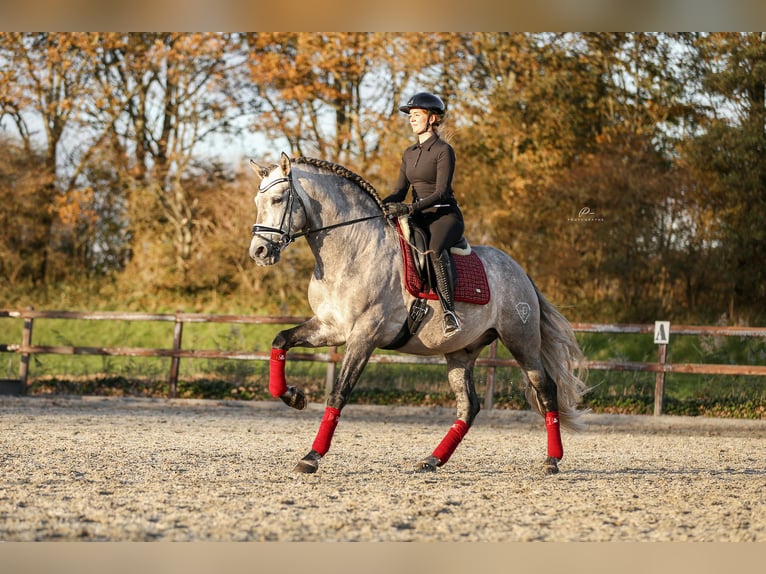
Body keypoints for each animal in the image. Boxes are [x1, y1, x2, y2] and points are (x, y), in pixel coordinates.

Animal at [249, 153, 592, 476]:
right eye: (257, 202)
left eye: (278, 199)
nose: (259, 252)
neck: (354, 251)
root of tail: (520, 272)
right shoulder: (329, 328)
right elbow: (280, 340)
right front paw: (292, 396)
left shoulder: (364, 336)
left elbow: (338, 395)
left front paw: (311, 457)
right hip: (461, 352)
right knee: (469, 406)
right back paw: (432, 460)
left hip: (521, 341)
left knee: (546, 390)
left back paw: (552, 460)